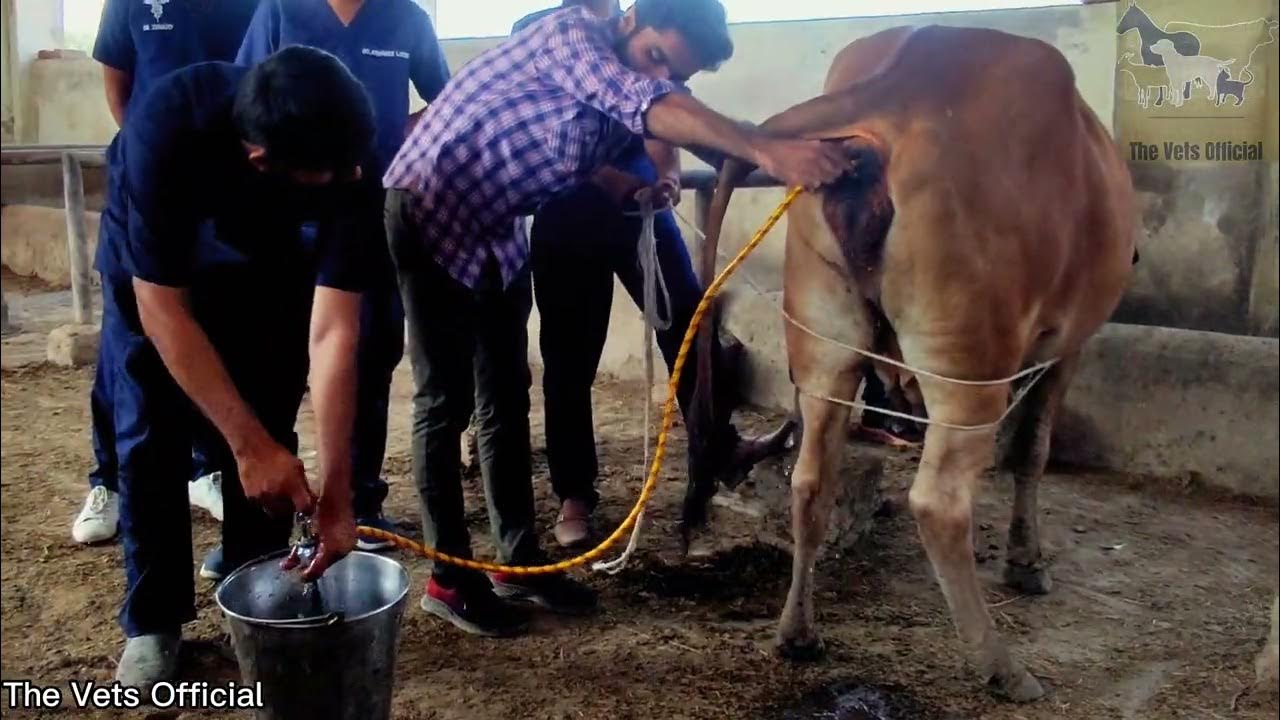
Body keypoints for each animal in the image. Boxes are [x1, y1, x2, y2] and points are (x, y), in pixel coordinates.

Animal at [687, 25, 1136, 702]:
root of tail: (901, 83)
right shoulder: (1065, 347)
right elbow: (1031, 451)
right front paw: (1027, 565)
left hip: (826, 347)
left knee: (811, 481)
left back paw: (797, 633)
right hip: (969, 361)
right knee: (938, 503)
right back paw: (1001, 667)